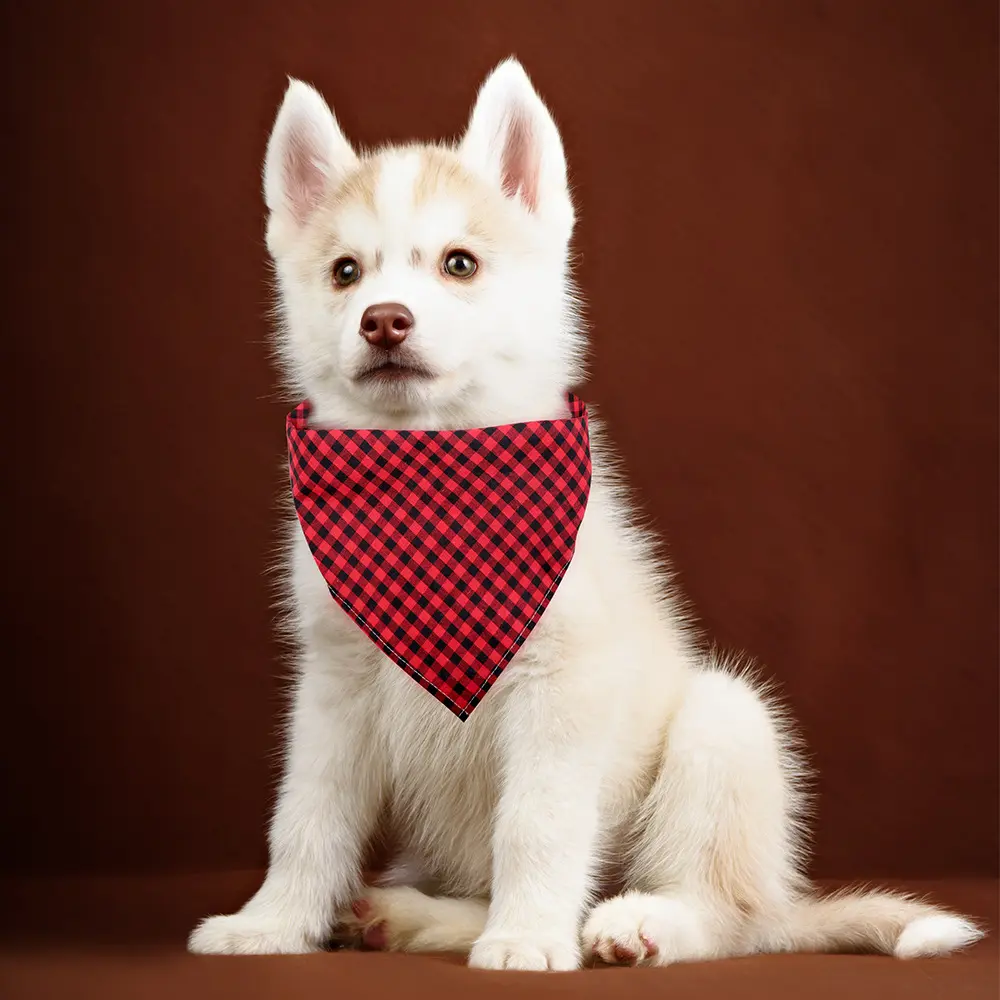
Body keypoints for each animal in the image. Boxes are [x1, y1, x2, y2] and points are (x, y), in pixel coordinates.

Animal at [188, 56, 984, 968]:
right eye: (346, 272)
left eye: (459, 264)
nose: (384, 320)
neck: (429, 474)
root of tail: (783, 901)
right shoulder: (334, 686)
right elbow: (305, 817)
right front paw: (272, 923)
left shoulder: (563, 685)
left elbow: (536, 823)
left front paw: (529, 937)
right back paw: (414, 915)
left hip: (725, 724)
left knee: (724, 913)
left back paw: (639, 923)